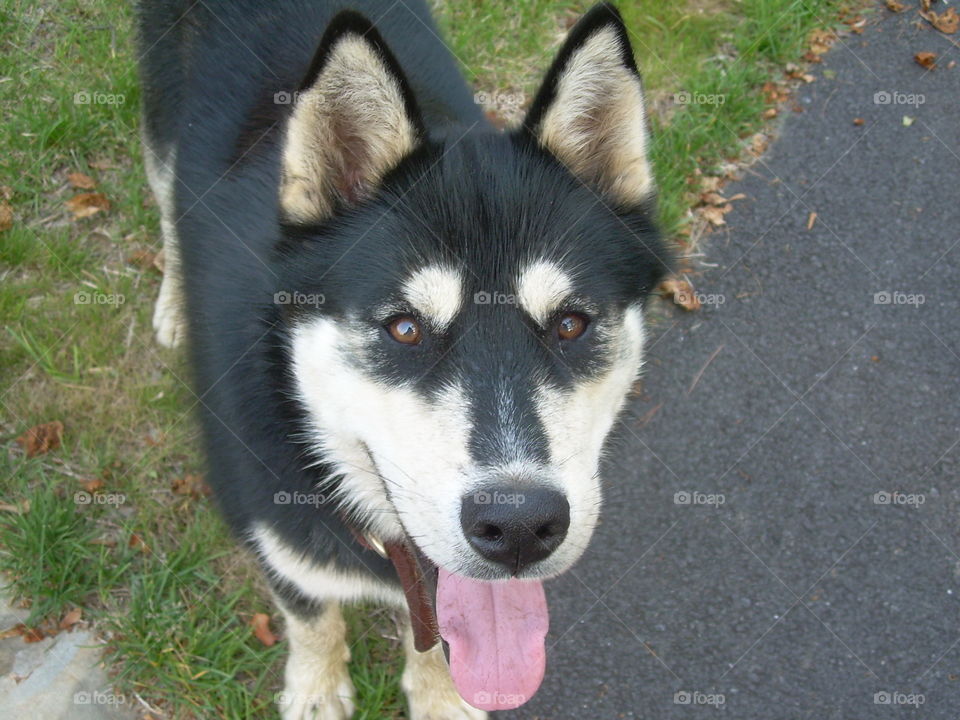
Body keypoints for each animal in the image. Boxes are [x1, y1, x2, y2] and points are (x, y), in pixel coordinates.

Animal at [137, 0, 668, 716]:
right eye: (406, 329)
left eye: (571, 324)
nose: (519, 525)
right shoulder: (276, 539)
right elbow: (310, 617)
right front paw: (315, 689)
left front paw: (441, 699)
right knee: (169, 208)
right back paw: (173, 301)